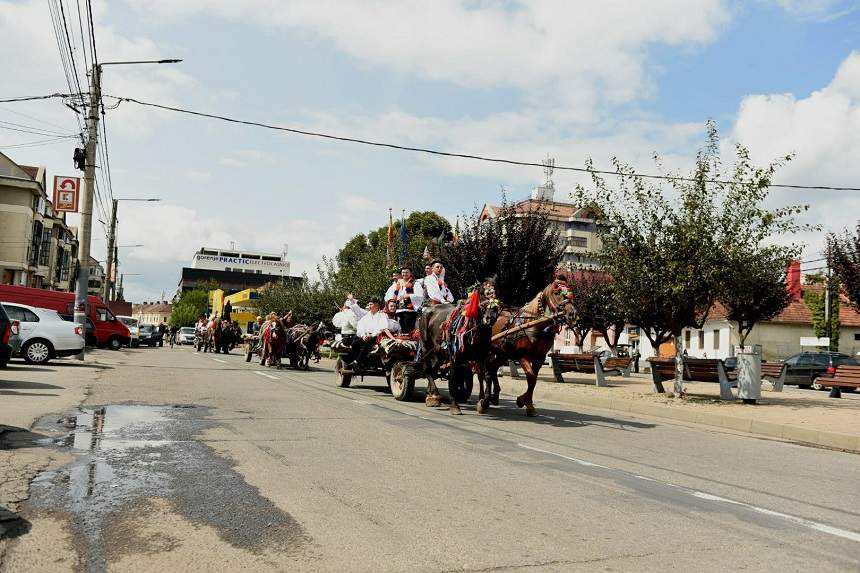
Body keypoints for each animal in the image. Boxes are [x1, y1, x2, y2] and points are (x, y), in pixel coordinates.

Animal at [478, 278, 576, 416]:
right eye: (557, 293)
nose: (572, 313)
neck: (534, 325)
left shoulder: (539, 358)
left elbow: (533, 380)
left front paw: (527, 403)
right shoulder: (523, 356)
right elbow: (531, 376)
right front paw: (522, 401)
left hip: (503, 354)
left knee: (492, 368)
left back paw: (494, 395)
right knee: (485, 371)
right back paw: (484, 399)